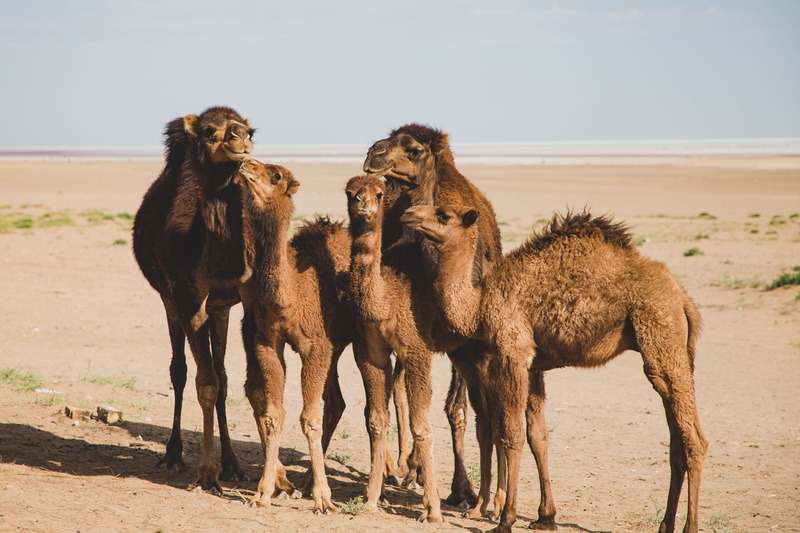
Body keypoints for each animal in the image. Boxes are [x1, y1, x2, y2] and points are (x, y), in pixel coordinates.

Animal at [237, 159, 356, 515]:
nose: (247, 164)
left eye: (276, 175)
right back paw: (303, 482)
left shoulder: (315, 346)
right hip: (333, 349)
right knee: (336, 402)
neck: (290, 296)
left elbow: (310, 418)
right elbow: (274, 413)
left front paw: (324, 499)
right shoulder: (267, 341)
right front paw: (263, 493)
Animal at [363, 124, 504, 507]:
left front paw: (462, 489)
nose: (373, 154)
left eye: (414, 149)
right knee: (396, 391)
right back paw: (396, 467)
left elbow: (457, 409)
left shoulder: (463, 339)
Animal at [400, 205, 709, 533]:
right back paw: (665, 524)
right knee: (676, 442)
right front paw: (543, 517)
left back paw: (690, 525)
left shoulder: (512, 351)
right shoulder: (532, 364)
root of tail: (683, 299)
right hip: (672, 353)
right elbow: (536, 434)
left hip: (660, 333)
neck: (480, 303)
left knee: (694, 440)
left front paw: (505, 520)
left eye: (443, 215)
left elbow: (511, 434)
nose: (409, 214)